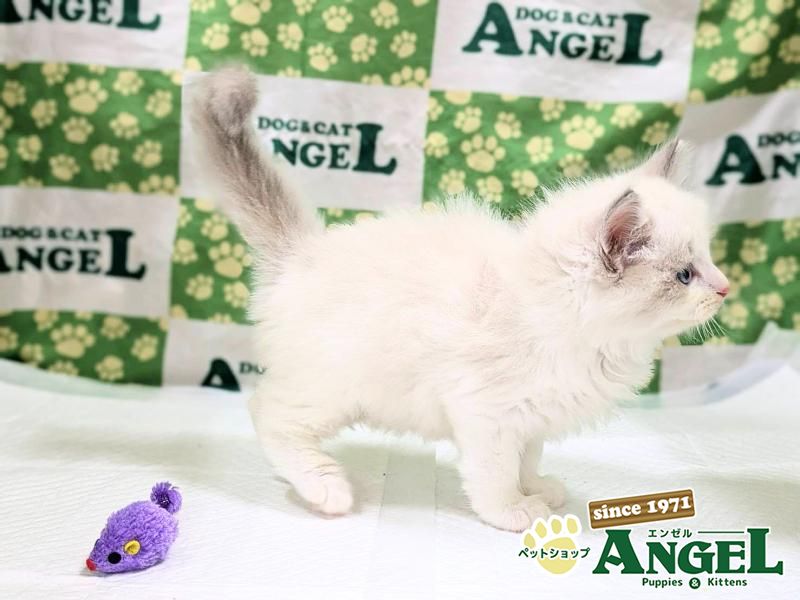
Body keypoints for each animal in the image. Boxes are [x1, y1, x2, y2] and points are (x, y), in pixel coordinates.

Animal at [191, 67, 729, 532]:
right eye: (685, 275)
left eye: (708, 258)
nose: (725, 288)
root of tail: (302, 252)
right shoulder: (486, 413)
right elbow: (494, 474)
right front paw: (514, 511)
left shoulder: (530, 417)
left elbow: (527, 458)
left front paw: (537, 488)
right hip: (332, 389)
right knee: (269, 415)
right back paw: (325, 487)